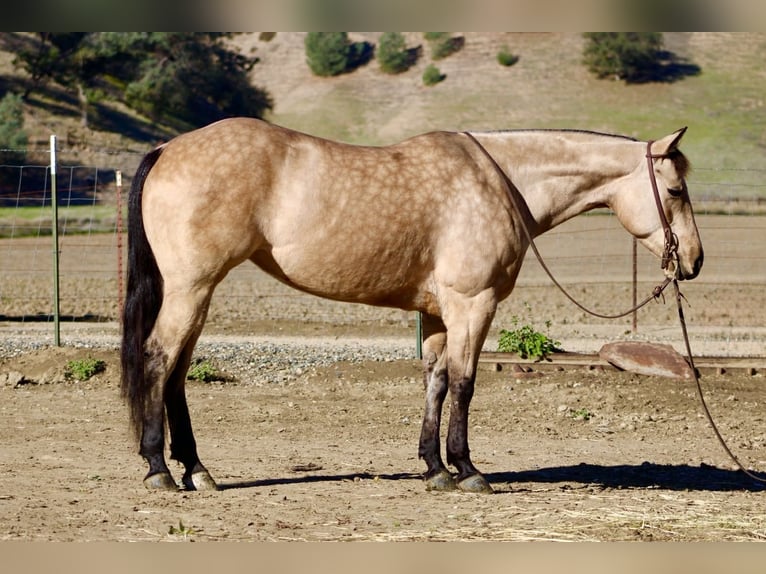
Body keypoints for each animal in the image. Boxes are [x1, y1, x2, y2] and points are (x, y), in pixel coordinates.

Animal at [121, 118, 703, 493]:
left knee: (177, 372)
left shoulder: (438, 313)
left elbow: (437, 381)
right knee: (158, 359)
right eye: (675, 189)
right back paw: (158, 470)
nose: (694, 261)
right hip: (192, 288)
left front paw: (435, 468)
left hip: (197, 292)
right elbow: (465, 384)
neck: (500, 182)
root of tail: (168, 149)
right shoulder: (474, 304)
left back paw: (196, 470)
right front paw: (468, 470)